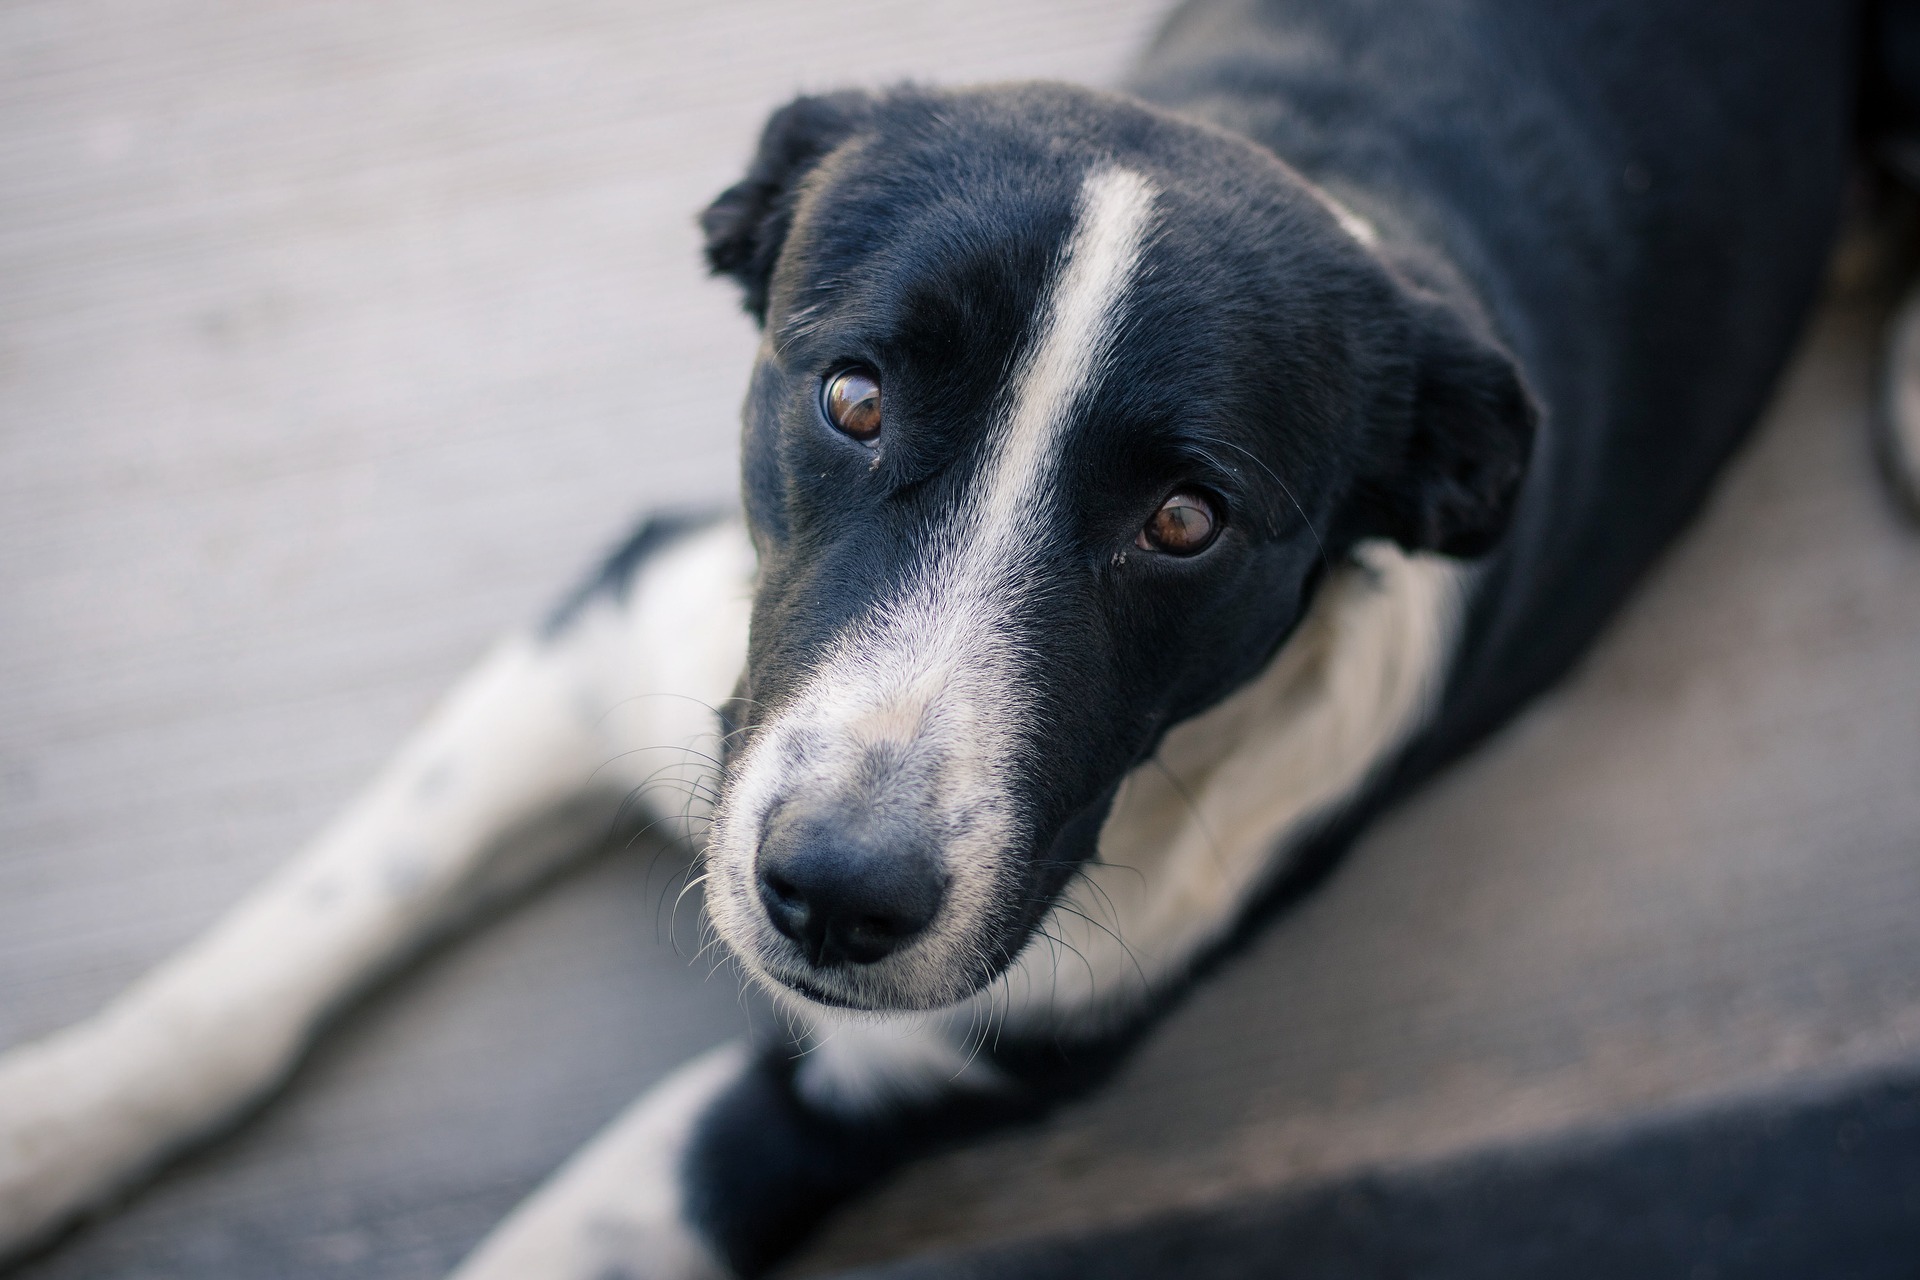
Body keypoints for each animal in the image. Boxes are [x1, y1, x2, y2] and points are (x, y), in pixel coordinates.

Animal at [3, 2, 1920, 1280]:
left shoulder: (882, 1084)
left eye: (1184, 523)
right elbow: (273, 961)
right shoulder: (609, 639)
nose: (837, 898)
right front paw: (43, 1130)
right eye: (851, 396)